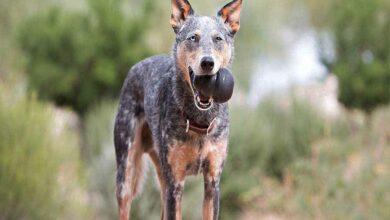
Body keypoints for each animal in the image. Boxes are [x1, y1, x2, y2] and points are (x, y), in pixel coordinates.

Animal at [112, 0, 242, 219]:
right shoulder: (176, 182)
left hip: (163, 178)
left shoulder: (212, 181)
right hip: (127, 174)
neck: (199, 121)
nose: (207, 63)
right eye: (193, 38)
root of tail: (137, 65)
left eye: (218, 39)